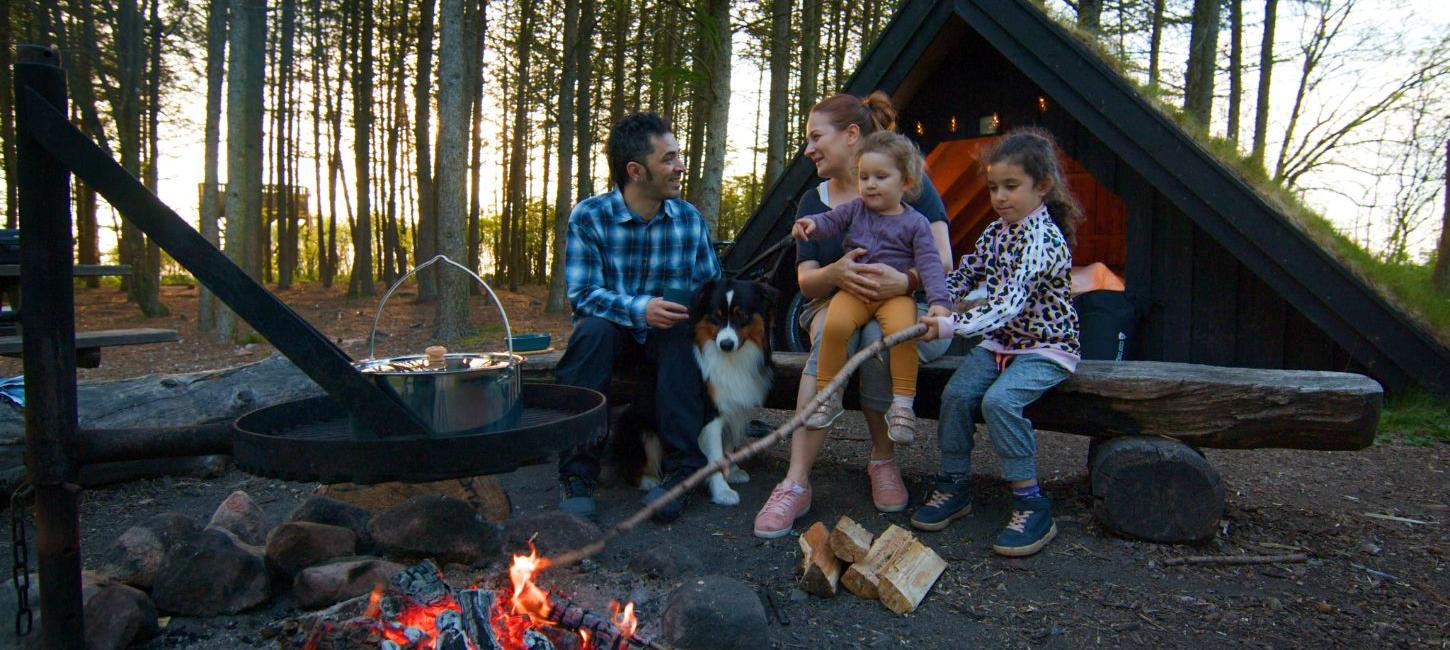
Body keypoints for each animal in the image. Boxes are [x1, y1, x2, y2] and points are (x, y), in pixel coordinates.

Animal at [614, 277, 777, 504]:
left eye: (741, 315)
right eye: (716, 316)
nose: (726, 344)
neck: (731, 359)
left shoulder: (732, 407)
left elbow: (727, 444)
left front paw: (733, 471)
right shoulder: (711, 413)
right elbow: (715, 455)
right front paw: (722, 492)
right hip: (637, 427)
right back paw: (649, 480)